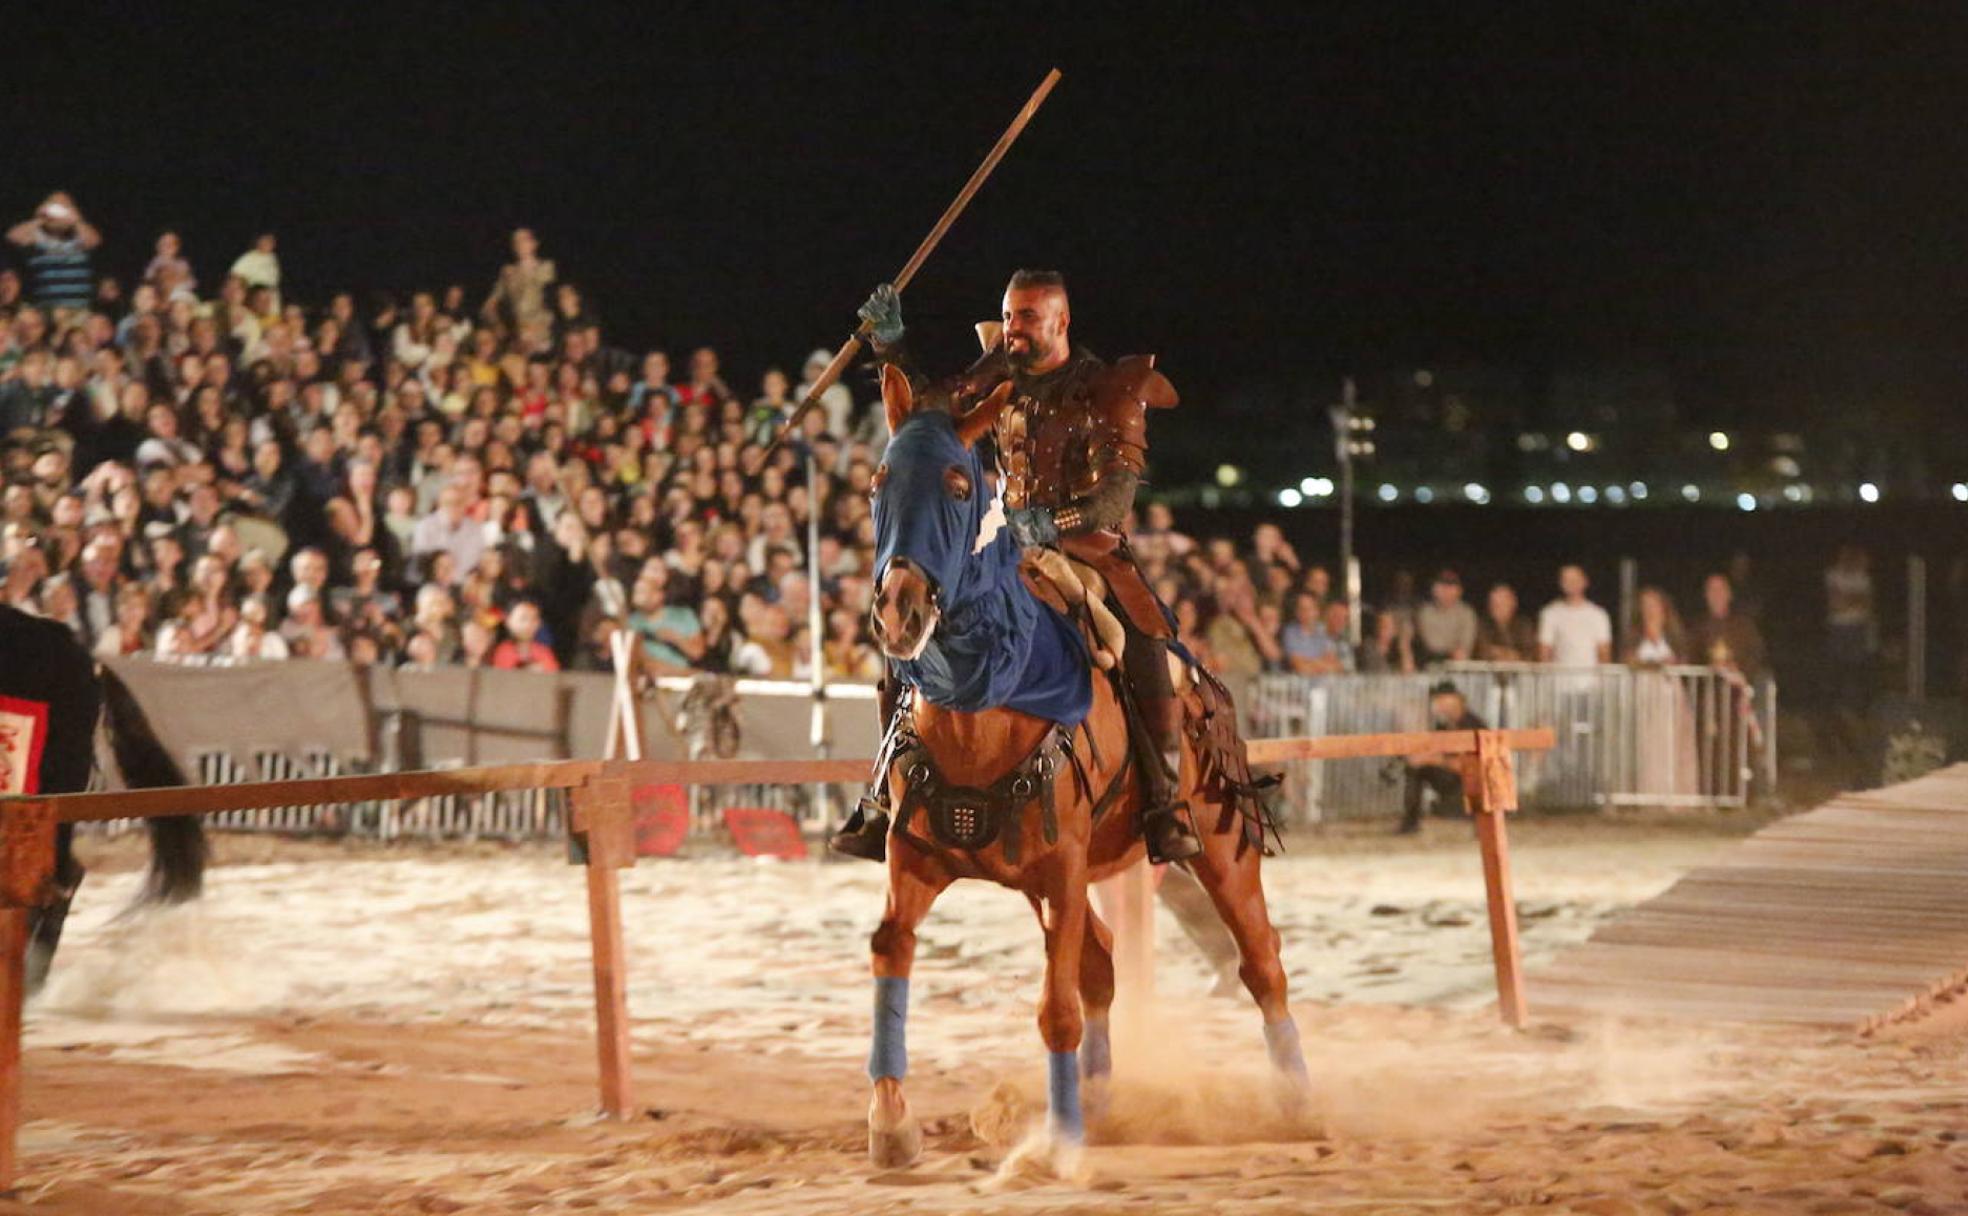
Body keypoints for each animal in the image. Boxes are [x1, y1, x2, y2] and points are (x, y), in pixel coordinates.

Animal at [861, 365, 1306, 1164]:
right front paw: (891, 1122)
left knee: (1260, 963)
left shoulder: (1062, 874)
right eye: (880, 480)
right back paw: (1099, 1101)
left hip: (1221, 846)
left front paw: (1058, 1142)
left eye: (958, 484)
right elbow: (892, 948)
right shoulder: (915, 859)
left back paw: (1298, 1101)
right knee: (1103, 964)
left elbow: (1058, 1010)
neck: (985, 705)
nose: (898, 610)